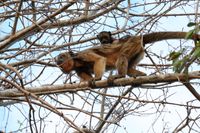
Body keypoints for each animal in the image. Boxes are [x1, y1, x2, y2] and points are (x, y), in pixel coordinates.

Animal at [55, 32, 200, 82]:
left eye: (61, 57)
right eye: (58, 60)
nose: (58, 61)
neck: (76, 61)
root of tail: (138, 37)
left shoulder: (81, 55)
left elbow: (99, 59)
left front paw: (97, 78)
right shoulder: (77, 68)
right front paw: (89, 81)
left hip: (132, 44)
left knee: (123, 54)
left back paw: (120, 75)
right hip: (138, 50)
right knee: (130, 68)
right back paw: (140, 76)